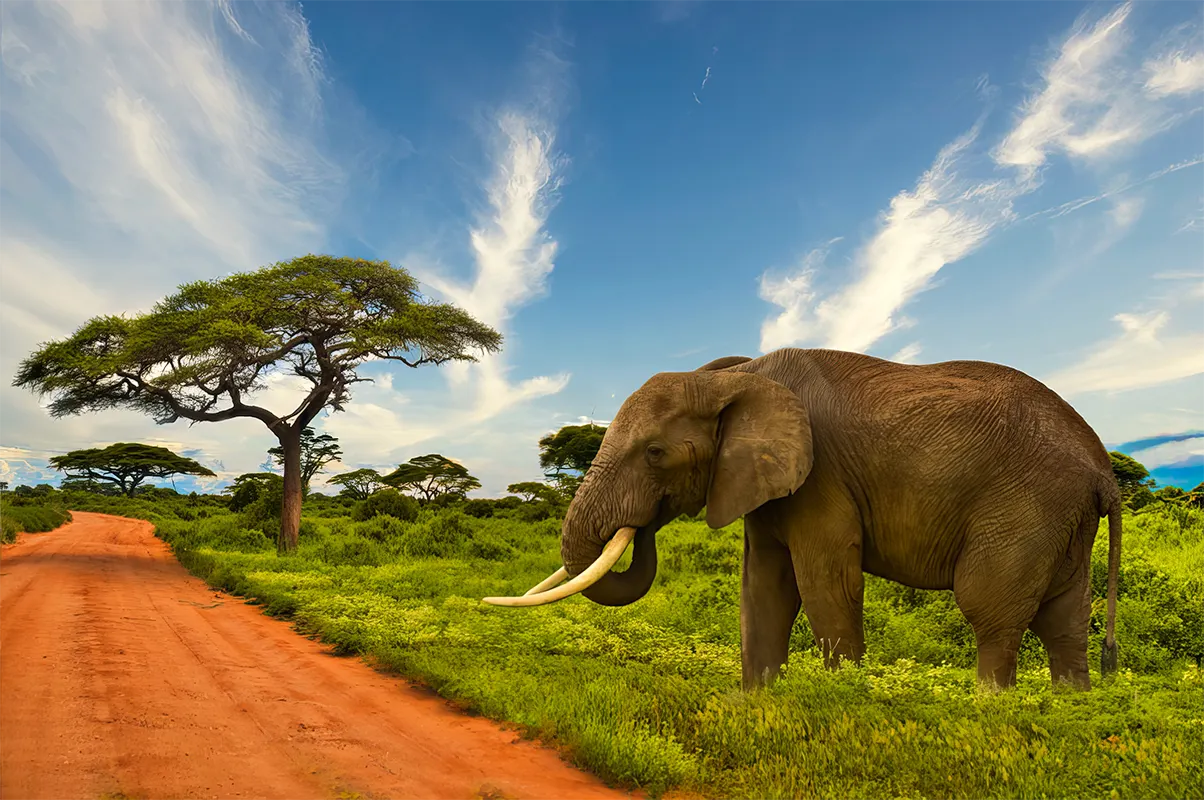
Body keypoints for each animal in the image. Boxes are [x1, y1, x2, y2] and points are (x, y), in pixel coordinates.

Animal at [484, 347, 1122, 691]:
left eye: (656, 454)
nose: (641, 524)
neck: (736, 376)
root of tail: (1103, 469)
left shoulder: (821, 477)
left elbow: (825, 586)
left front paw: (845, 701)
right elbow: (763, 590)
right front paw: (756, 706)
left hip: (1026, 505)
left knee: (991, 611)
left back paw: (989, 711)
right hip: (1061, 519)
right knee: (1064, 622)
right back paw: (1071, 711)